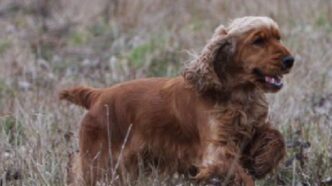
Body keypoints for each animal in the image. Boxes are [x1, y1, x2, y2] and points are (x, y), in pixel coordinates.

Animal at [59, 16, 294, 185]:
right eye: (258, 41)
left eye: (278, 38)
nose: (290, 60)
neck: (236, 95)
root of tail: (96, 95)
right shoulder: (215, 154)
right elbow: (240, 175)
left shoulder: (249, 131)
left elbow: (277, 138)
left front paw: (262, 164)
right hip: (98, 161)